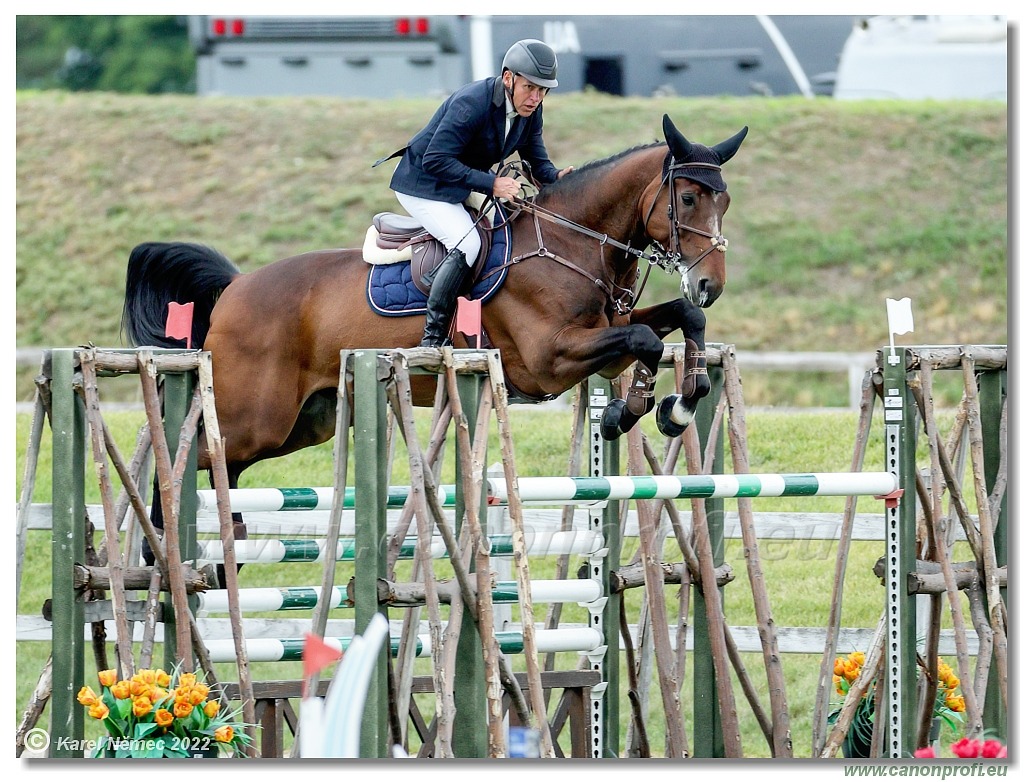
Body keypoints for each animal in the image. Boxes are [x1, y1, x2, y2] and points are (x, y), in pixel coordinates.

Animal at [121, 111, 745, 548]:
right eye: (688, 197)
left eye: (726, 201)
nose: (709, 283)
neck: (572, 243)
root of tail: (234, 288)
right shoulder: (550, 359)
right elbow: (646, 341)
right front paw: (632, 408)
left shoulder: (605, 336)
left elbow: (679, 322)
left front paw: (675, 402)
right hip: (259, 417)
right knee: (193, 455)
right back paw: (160, 544)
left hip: (305, 422)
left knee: (217, 459)